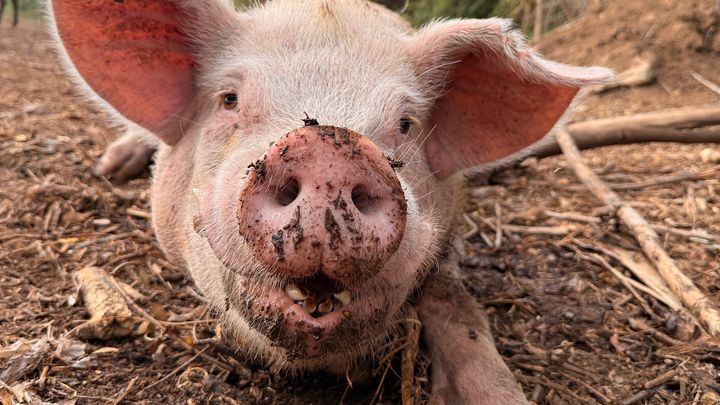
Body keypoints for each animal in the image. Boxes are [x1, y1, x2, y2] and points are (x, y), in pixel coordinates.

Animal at [47, 1, 611, 403]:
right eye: (229, 99)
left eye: (406, 123)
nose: (327, 151)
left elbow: (456, 298)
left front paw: (499, 397)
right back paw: (111, 166)